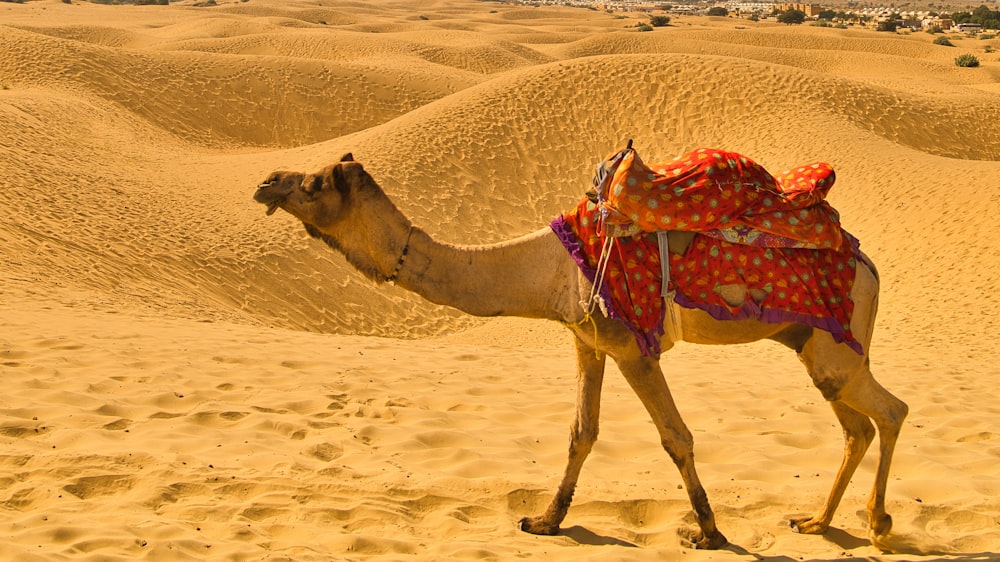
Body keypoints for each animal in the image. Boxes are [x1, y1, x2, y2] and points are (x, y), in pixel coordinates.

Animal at [256, 152, 908, 548]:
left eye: (312, 184)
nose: (266, 181)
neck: (546, 269)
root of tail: (869, 263)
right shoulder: (586, 340)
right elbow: (581, 432)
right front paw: (545, 520)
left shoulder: (632, 346)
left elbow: (676, 437)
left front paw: (710, 533)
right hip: (814, 343)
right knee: (856, 424)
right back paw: (817, 521)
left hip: (837, 343)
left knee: (891, 411)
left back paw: (878, 525)